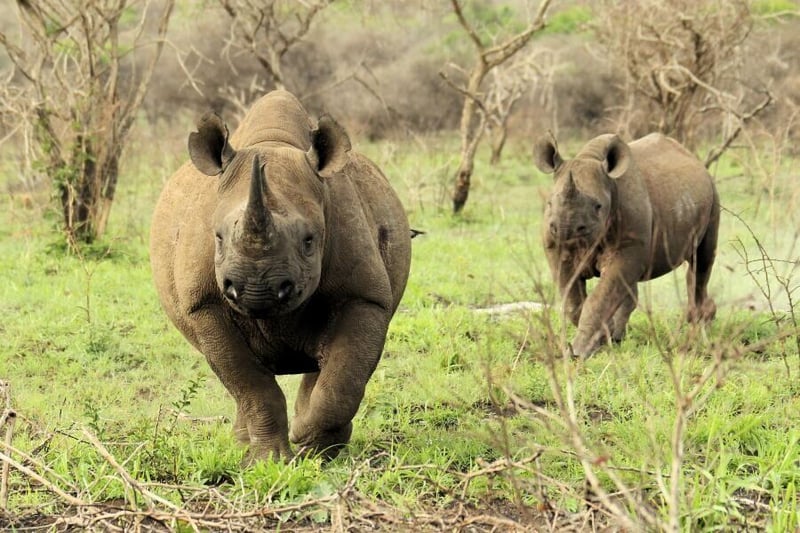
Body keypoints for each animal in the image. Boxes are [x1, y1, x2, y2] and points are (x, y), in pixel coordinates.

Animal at [150, 90, 412, 462]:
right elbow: (249, 384)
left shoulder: (364, 295)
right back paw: (245, 447)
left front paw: (311, 444)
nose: (255, 289)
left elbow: (344, 377)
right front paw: (269, 460)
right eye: (217, 237)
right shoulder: (203, 304)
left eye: (309, 240)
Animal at [533, 132, 719, 358]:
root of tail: (696, 161)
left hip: (713, 194)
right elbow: (573, 300)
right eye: (549, 203)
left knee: (701, 262)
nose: (565, 230)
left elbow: (600, 298)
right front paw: (599, 340)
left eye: (598, 206)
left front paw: (580, 352)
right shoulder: (558, 250)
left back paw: (700, 325)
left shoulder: (627, 246)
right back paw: (618, 337)